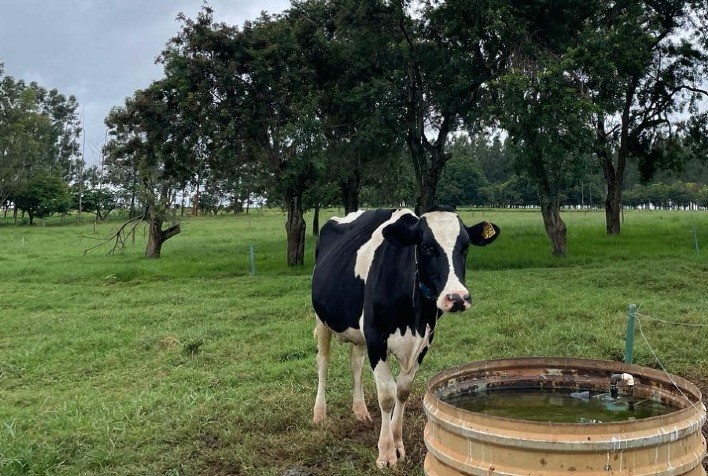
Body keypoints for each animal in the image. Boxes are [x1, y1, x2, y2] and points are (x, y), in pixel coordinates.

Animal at [311, 206, 499, 468]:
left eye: (465, 247)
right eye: (427, 247)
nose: (457, 298)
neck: (414, 317)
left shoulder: (423, 342)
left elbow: (402, 390)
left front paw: (398, 442)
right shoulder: (376, 337)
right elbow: (387, 395)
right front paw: (386, 453)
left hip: (358, 332)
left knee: (355, 363)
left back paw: (360, 411)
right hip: (322, 319)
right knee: (323, 362)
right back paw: (319, 414)